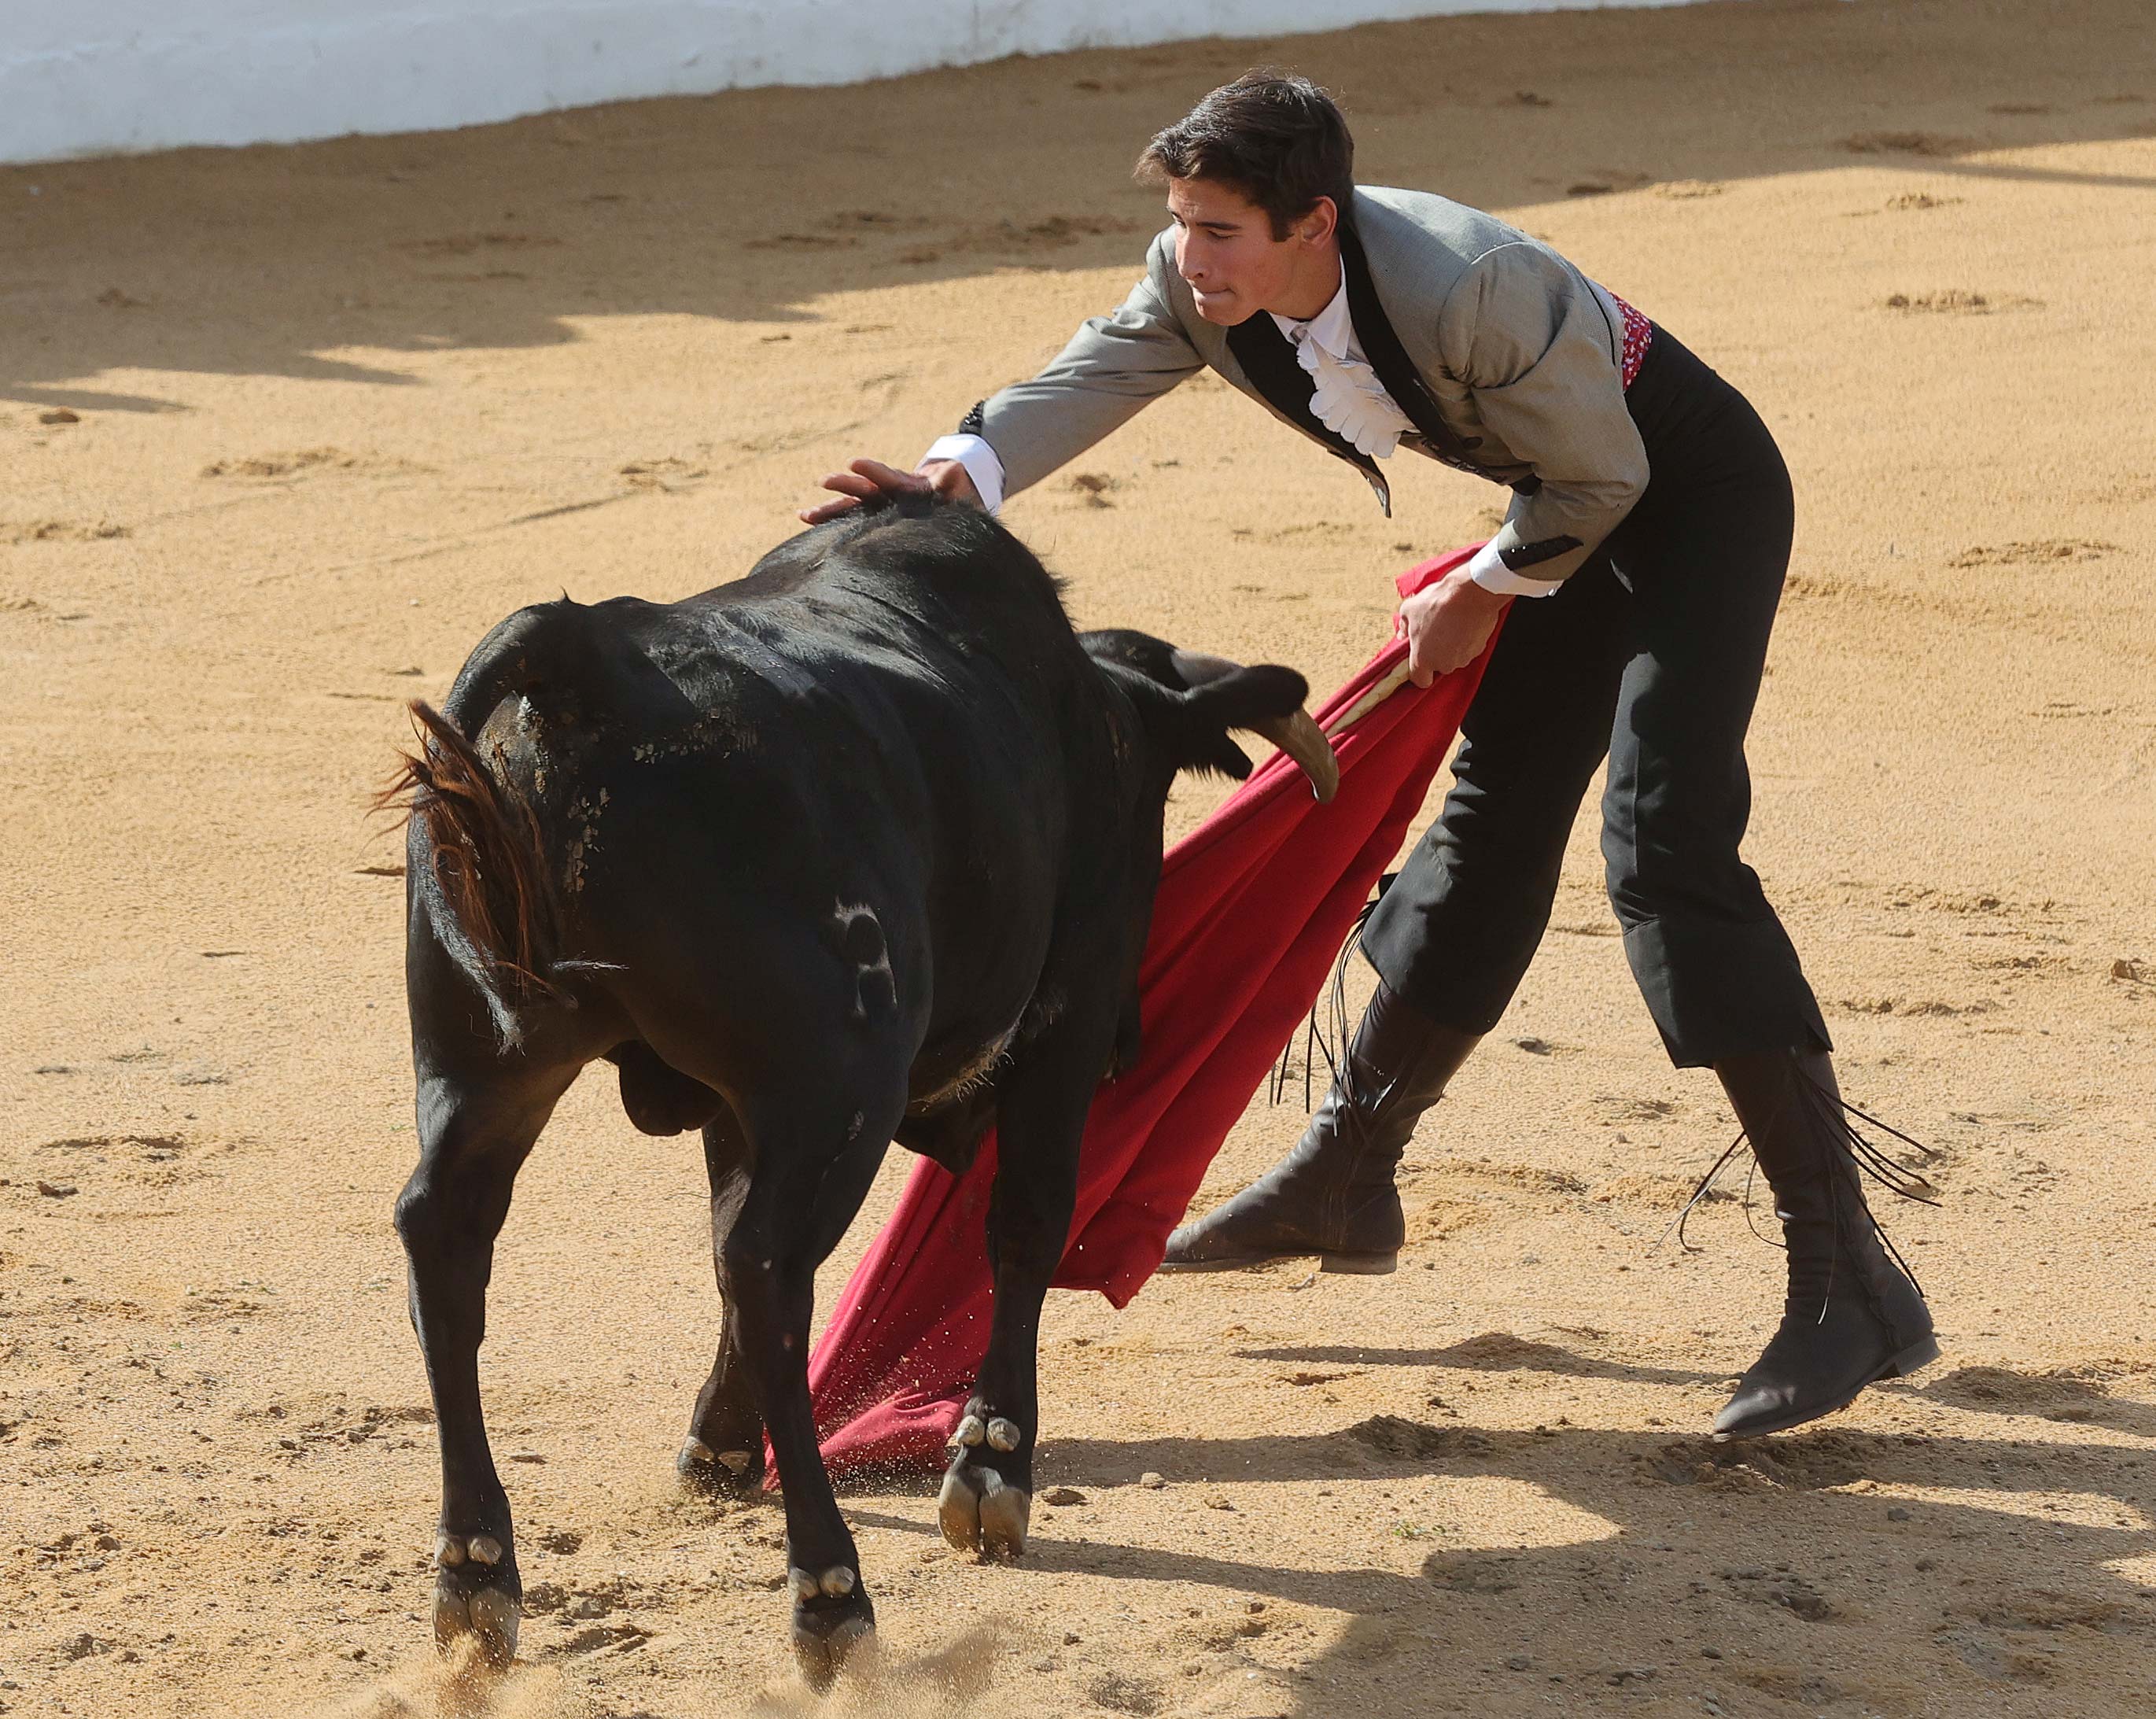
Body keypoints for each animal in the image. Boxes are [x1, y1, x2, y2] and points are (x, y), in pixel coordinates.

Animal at [379, 496, 1336, 1673]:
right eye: (1156, 806)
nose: (1134, 1035)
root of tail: (579, 654)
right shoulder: (1058, 1027)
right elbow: (1027, 1222)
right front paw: (991, 1464)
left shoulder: (737, 1105)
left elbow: (715, 1242)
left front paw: (720, 1445)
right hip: (843, 1082)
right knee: (770, 1272)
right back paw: (830, 1591)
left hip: (487, 1064)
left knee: (455, 1240)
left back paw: (476, 1569)